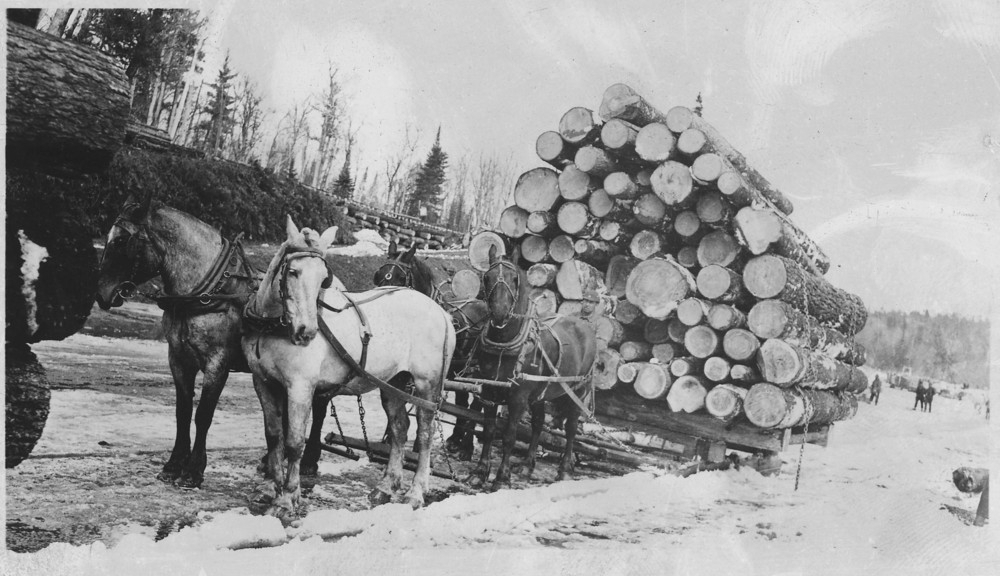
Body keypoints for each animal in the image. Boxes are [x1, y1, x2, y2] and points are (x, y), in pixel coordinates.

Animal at [95, 195, 334, 486]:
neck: (209, 291)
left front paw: (193, 470)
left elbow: (203, 414)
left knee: (320, 408)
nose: (102, 294)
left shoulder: (217, 364)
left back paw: (309, 461)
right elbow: (183, 411)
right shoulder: (178, 359)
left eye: (121, 241)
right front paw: (174, 464)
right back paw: (270, 461)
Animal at [244, 218, 456, 516]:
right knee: (400, 428)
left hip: (427, 385)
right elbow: (274, 436)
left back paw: (415, 493)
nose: (306, 332)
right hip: (394, 383)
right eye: (293, 272)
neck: (273, 327)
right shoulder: (263, 382)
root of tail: (442, 313)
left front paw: (287, 498)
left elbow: (294, 442)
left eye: (324, 278)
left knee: (424, 435)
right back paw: (385, 487)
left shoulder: (300, 388)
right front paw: (270, 488)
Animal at [372, 238, 488, 460]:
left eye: (401, 277)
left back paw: (466, 447)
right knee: (462, 403)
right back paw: (455, 440)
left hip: (479, 373)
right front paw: (390, 439)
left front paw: (417, 446)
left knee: (476, 407)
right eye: (379, 275)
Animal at [468, 246, 592, 490]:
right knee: (538, 424)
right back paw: (527, 465)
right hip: (540, 393)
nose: (500, 313)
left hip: (577, 391)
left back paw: (564, 470)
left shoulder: (518, 396)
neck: (506, 343)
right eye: (486, 277)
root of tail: (584, 326)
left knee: (572, 428)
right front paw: (480, 472)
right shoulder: (489, 390)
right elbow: (489, 431)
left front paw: (501, 477)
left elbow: (509, 435)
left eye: (515, 279)